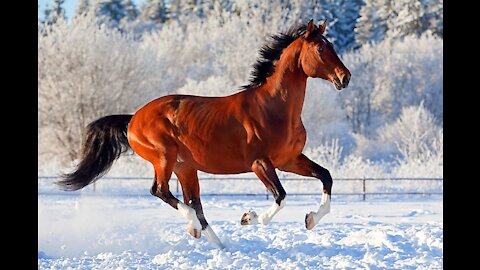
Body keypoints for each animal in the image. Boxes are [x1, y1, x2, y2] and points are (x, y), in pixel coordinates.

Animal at [57, 20, 348, 249]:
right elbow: (281, 196)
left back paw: (217, 243)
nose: (345, 78)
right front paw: (249, 218)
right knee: (160, 191)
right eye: (320, 48)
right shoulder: (260, 163)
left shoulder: (289, 160)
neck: (273, 108)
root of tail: (133, 119)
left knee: (194, 203)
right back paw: (194, 227)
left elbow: (326, 176)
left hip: (185, 167)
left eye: (332, 46)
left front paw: (311, 218)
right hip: (164, 158)